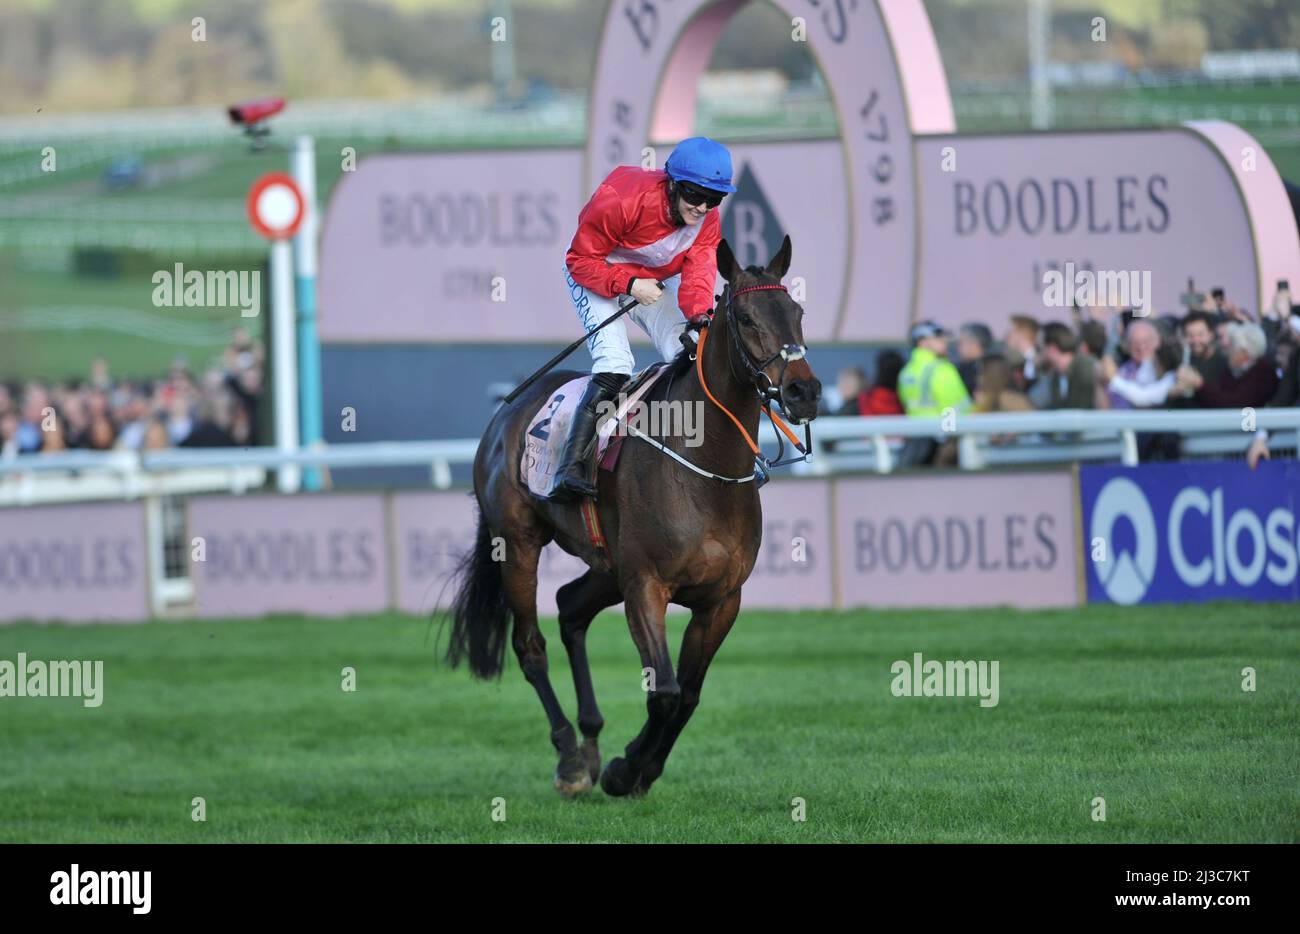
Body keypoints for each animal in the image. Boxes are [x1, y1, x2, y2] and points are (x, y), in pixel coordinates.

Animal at [441, 235, 816, 796]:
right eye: (747, 318)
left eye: (797, 312)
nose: (804, 392)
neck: (704, 468)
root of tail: (504, 416)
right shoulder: (646, 584)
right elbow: (665, 690)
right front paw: (627, 768)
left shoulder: (721, 598)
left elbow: (688, 695)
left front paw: (638, 765)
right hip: (520, 544)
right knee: (530, 645)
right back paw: (571, 758)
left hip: (607, 563)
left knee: (570, 608)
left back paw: (591, 739)